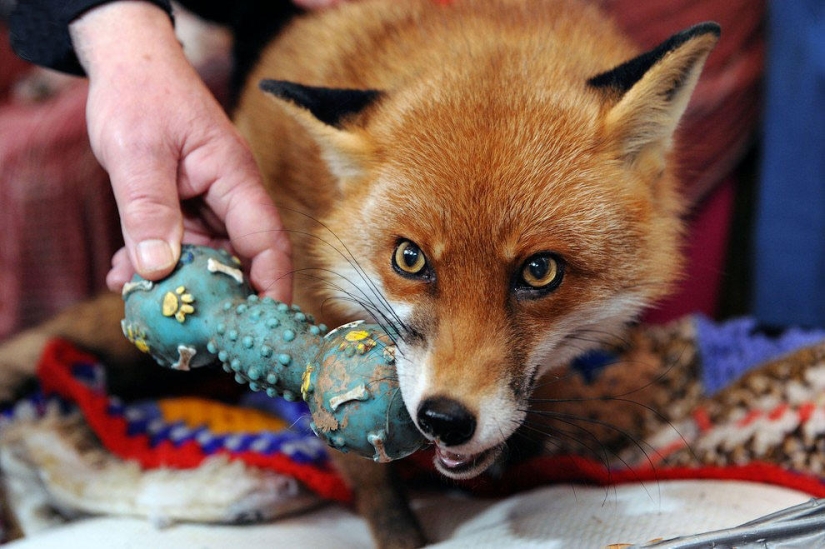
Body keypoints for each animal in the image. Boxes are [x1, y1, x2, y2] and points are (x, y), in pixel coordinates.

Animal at [0, 0, 719, 547]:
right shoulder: (308, 295)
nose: (443, 420)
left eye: (539, 271)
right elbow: (364, 471)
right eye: (409, 259)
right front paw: (401, 535)